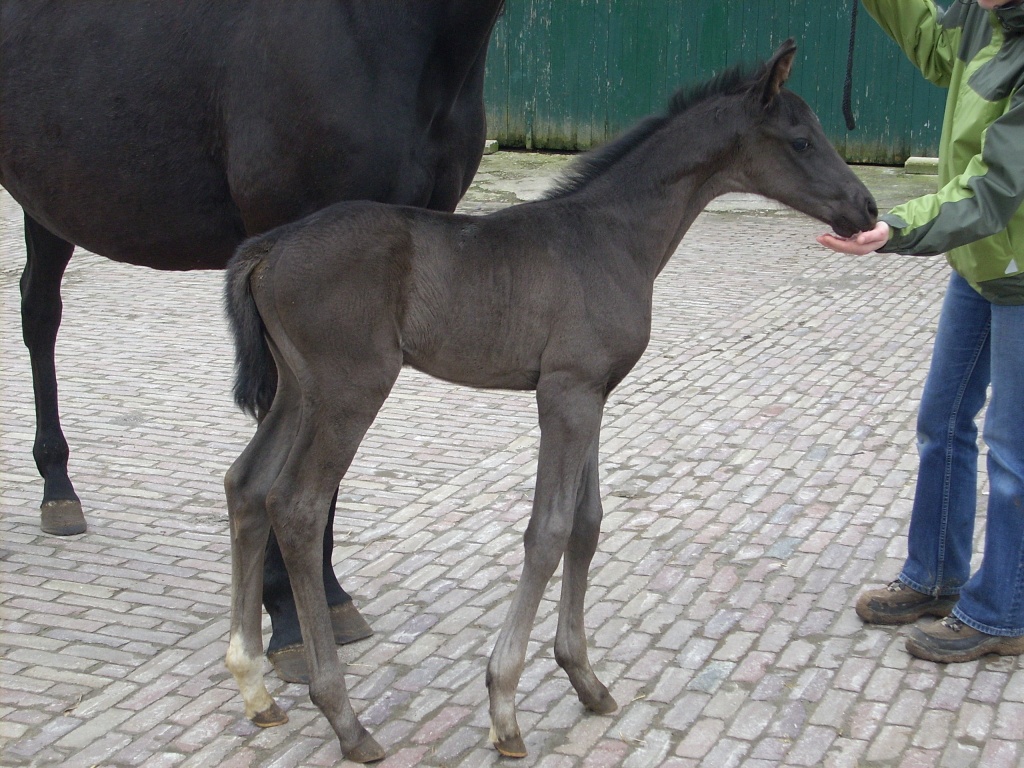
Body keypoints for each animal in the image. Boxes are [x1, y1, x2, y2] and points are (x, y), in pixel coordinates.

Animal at [0, 0, 505, 684]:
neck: (378, 28)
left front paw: (329, 601)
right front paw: (289, 621)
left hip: (48, 195)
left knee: (39, 312)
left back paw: (58, 488)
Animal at [223, 40, 877, 762]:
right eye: (800, 140)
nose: (867, 209)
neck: (611, 235)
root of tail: (269, 246)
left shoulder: (593, 393)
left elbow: (587, 524)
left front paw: (585, 679)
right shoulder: (566, 393)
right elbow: (549, 530)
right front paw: (505, 706)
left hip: (297, 390)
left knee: (247, 485)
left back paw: (254, 688)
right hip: (348, 389)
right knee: (298, 506)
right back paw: (344, 718)